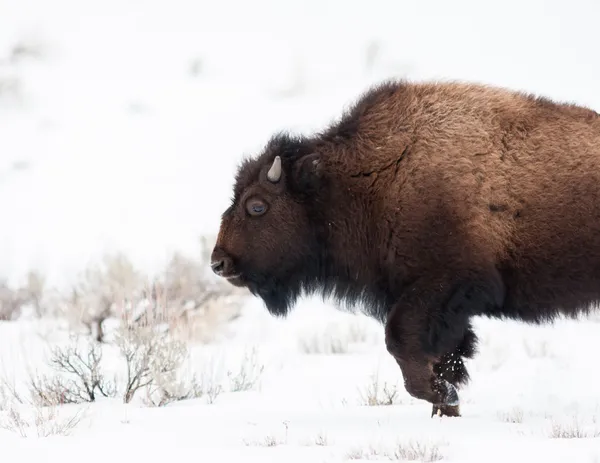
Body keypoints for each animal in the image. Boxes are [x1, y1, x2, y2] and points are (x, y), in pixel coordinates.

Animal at [210, 79, 600, 416]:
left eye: (257, 206)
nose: (219, 263)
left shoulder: (444, 285)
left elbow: (400, 341)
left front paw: (444, 395)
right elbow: (442, 355)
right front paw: (447, 405)